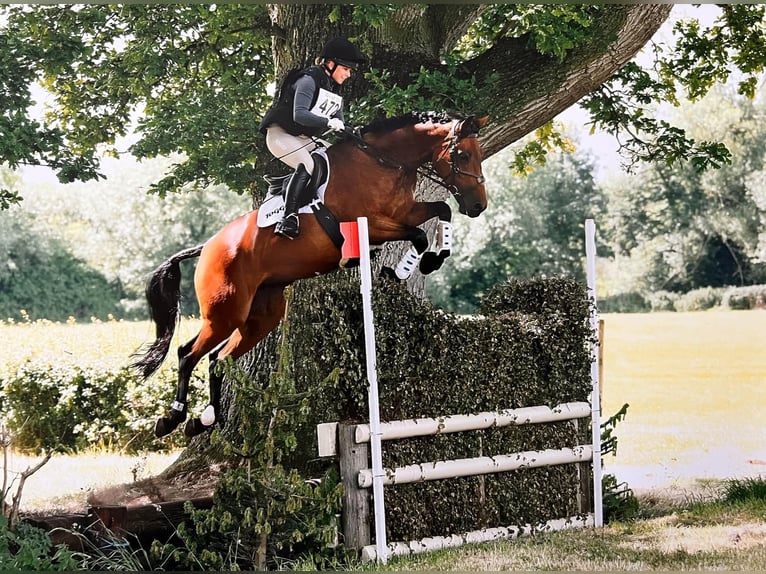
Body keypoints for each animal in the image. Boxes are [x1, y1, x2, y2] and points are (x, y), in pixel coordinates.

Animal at [130, 110, 492, 438]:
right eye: (462, 154)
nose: (478, 206)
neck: (383, 163)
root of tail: (208, 247)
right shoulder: (370, 225)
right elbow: (418, 235)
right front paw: (402, 269)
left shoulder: (406, 212)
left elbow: (440, 211)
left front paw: (431, 260)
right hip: (225, 312)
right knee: (187, 354)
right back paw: (172, 419)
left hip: (259, 316)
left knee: (219, 359)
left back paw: (204, 420)